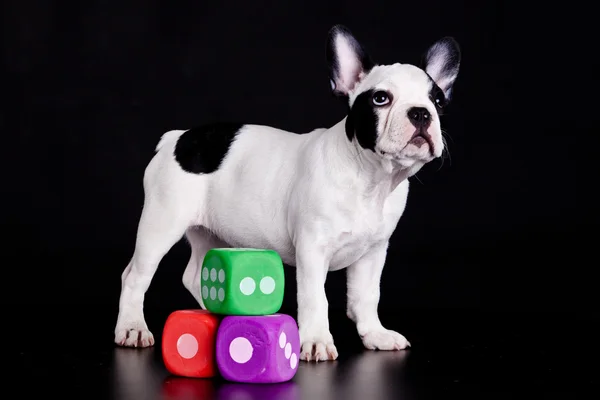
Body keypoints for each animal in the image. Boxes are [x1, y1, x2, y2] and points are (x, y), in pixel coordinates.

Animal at [113, 25, 460, 362]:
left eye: (438, 102)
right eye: (381, 98)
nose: (421, 113)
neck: (371, 178)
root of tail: (178, 138)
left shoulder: (373, 252)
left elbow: (366, 296)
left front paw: (374, 334)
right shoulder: (312, 249)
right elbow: (315, 298)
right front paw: (317, 341)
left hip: (210, 232)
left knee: (195, 275)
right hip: (162, 223)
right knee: (135, 276)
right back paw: (132, 328)